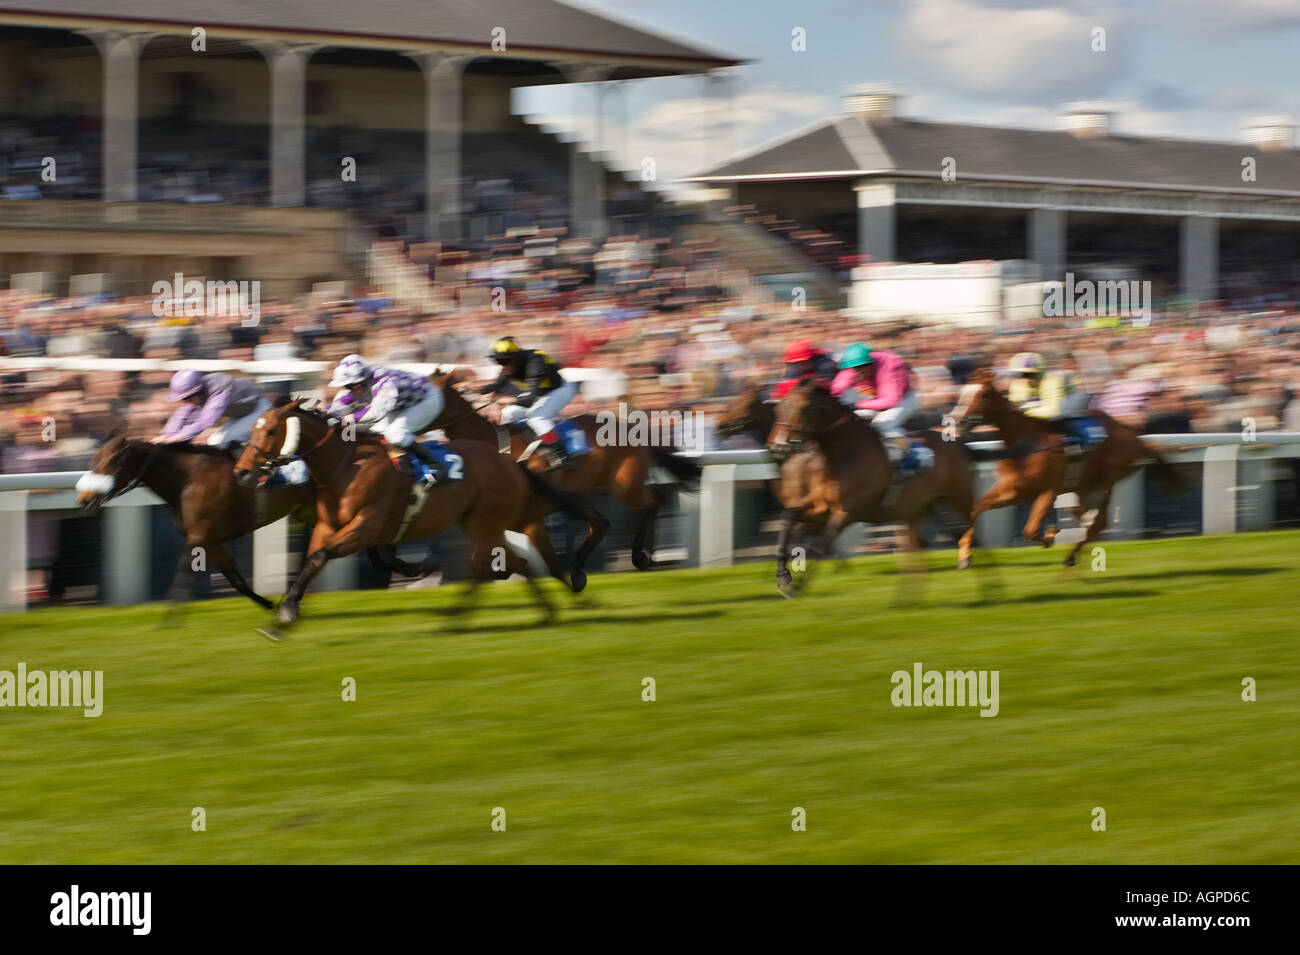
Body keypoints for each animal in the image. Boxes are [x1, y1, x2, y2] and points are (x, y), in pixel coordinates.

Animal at [75, 428, 314, 608]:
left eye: (111, 462)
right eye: (93, 461)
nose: (84, 500)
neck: (190, 480)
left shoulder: (200, 536)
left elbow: (181, 580)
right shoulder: (210, 540)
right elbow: (236, 580)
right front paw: (268, 603)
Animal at [232, 397, 598, 628]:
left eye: (270, 430)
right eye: (252, 429)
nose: (241, 472)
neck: (345, 466)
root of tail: (511, 463)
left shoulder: (365, 526)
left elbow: (319, 558)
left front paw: (286, 612)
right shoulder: (327, 526)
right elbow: (311, 560)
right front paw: (285, 610)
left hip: (486, 523)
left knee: (486, 566)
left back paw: (459, 617)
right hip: (480, 523)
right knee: (515, 562)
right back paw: (545, 611)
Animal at [431, 371, 702, 579]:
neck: (493, 444)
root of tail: (634, 429)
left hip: (624, 485)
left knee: (653, 502)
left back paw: (640, 554)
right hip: (595, 487)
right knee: (603, 524)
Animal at [759, 376, 982, 595]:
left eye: (803, 409)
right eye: (778, 409)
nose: (777, 447)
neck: (844, 454)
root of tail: (961, 444)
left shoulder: (847, 512)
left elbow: (818, 547)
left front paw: (797, 586)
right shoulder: (822, 507)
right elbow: (787, 518)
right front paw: (783, 576)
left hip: (958, 495)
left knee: (971, 520)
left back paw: (965, 557)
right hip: (920, 505)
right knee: (921, 540)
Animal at [941, 369, 1185, 566]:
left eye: (982, 394)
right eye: (962, 393)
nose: (957, 421)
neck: (1026, 443)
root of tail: (1134, 434)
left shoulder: (1048, 490)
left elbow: (1030, 530)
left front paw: (1049, 537)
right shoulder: (1012, 491)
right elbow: (975, 510)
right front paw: (964, 554)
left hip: (1107, 478)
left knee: (1099, 521)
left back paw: (1070, 556)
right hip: (1083, 486)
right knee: (1084, 516)